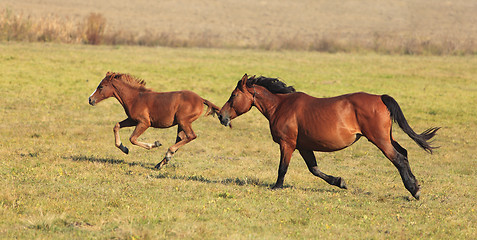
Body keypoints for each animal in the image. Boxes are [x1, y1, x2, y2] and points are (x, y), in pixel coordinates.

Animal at [88, 72, 222, 170]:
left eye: (101, 86)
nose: (90, 99)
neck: (135, 98)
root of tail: (201, 99)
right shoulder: (132, 120)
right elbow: (116, 126)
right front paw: (124, 148)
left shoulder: (144, 123)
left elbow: (132, 139)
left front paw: (154, 144)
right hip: (181, 124)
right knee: (181, 139)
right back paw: (161, 163)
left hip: (184, 121)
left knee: (191, 136)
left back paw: (168, 153)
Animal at [217, 74, 438, 200]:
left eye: (234, 95)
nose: (221, 115)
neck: (281, 106)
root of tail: (380, 98)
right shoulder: (303, 146)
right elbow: (314, 169)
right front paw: (340, 181)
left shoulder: (287, 144)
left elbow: (282, 168)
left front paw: (276, 187)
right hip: (387, 138)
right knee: (404, 153)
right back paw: (415, 185)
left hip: (380, 140)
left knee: (398, 159)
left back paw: (413, 190)